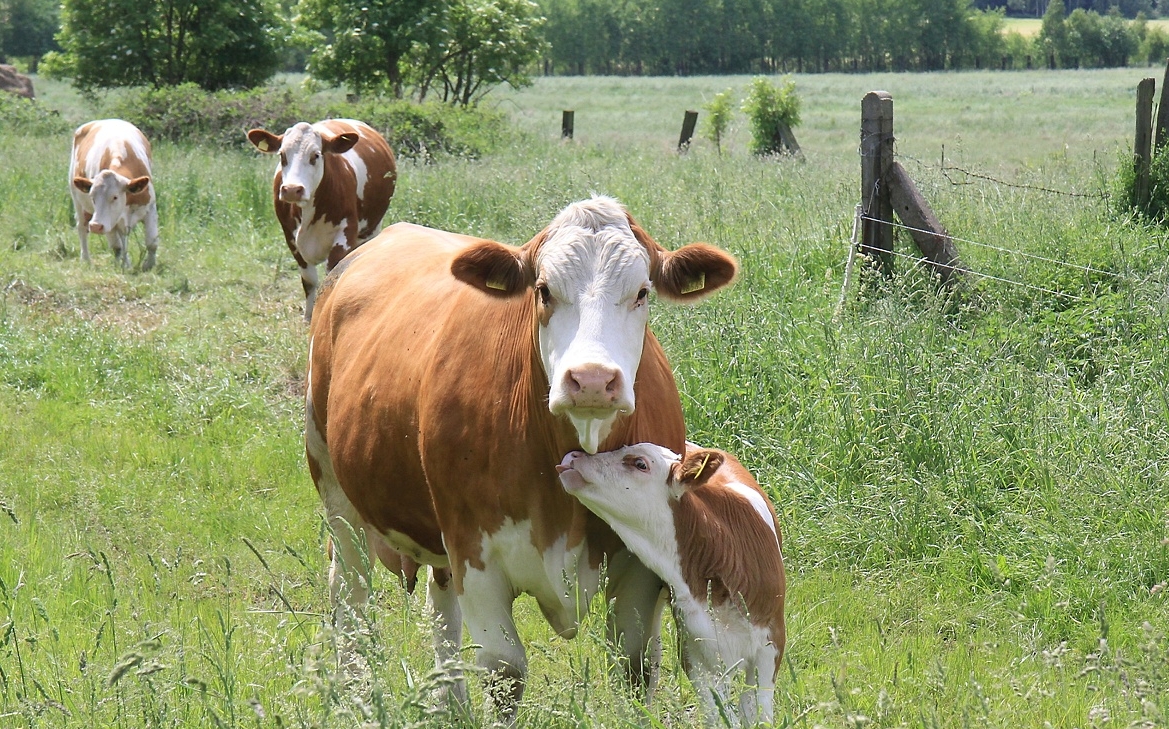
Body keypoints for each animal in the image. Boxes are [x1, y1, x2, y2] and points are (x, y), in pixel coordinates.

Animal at [68, 119, 160, 271]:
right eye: (93, 198)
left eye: (115, 196)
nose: (95, 226)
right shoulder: (107, 221)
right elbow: (117, 246)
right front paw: (121, 265)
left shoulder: (150, 207)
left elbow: (152, 242)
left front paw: (149, 265)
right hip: (77, 200)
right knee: (82, 227)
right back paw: (86, 259)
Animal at [246, 117, 397, 320]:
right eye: (282, 155)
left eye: (315, 155)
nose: (292, 189)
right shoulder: (290, 237)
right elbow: (309, 280)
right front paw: (309, 316)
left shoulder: (346, 232)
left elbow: (333, 273)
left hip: (372, 229)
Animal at [306, 196, 734, 714]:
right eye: (543, 291)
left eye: (642, 292)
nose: (592, 380)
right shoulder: (474, 549)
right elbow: (504, 671)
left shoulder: (641, 565)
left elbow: (636, 666)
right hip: (332, 483)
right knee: (350, 591)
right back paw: (355, 696)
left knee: (438, 600)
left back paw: (450, 703)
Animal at [554, 443, 785, 729]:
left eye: (640, 463)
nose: (574, 456)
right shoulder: (695, 652)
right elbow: (720, 716)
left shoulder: (771, 644)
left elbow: (757, 714)